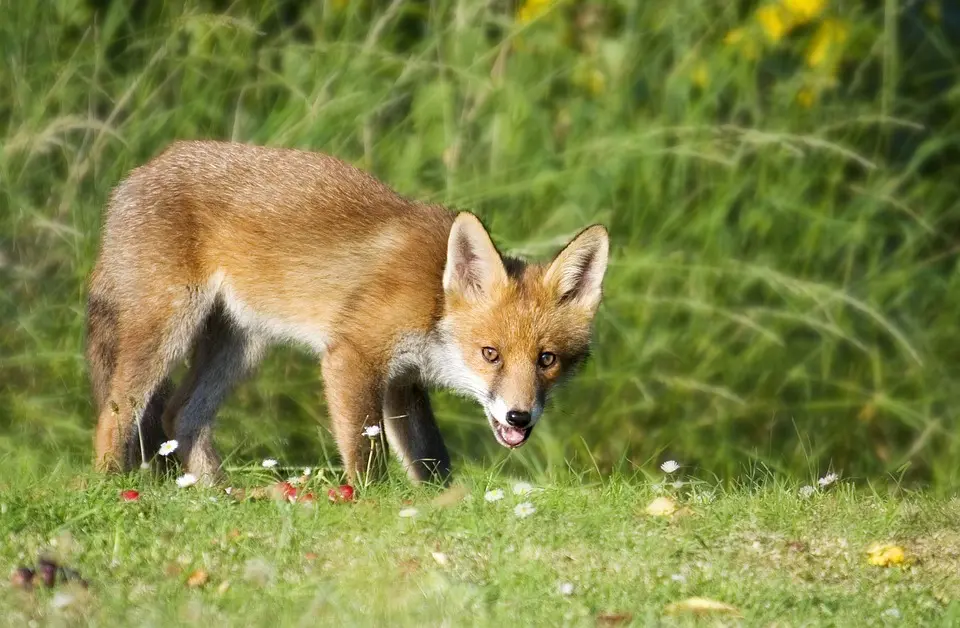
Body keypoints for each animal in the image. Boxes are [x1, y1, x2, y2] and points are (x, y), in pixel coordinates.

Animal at [84, 141, 608, 486]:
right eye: (490, 354)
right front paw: (368, 502)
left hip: (241, 346)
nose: (519, 416)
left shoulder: (402, 381)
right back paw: (110, 486)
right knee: (116, 412)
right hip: (167, 328)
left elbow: (431, 460)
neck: (433, 298)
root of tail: (135, 175)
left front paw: (440, 502)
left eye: (547, 360)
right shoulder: (354, 356)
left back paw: (221, 494)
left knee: (180, 415)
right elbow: (366, 455)